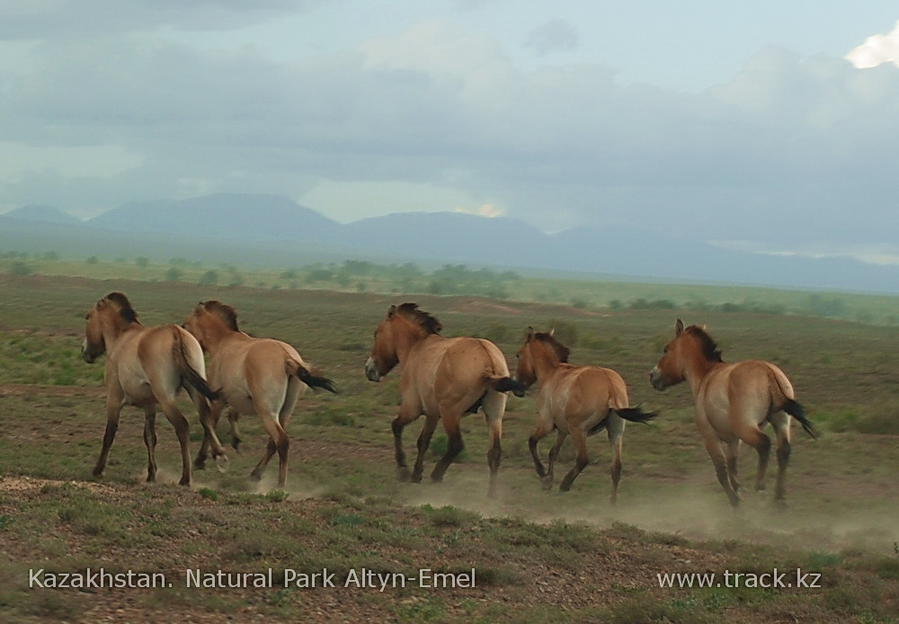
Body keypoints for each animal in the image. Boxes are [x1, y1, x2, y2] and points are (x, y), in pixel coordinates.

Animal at [81, 290, 221, 486]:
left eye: (88, 316)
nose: (85, 351)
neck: (121, 338)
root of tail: (176, 333)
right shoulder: (150, 405)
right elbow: (150, 438)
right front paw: (151, 474)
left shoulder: (114, 399)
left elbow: (109, 434)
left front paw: (98, 470)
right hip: (194, 390)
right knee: (206, 418)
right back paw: (217, 455)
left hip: (166, 397)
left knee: (182, 426)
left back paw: (185, 478)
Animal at [181, 300, 336, 490]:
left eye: (185, 325)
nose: (189, 347)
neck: (224, 341)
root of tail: (287, 357)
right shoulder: (235, 399)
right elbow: (231, 416)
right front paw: (235, 441)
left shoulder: (218, 400)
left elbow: (209, 424)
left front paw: (201, 460)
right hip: (284, 413)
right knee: (273, 443)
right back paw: (256, 474)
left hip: (267, 411)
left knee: (281, 441)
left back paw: (280, 486)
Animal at [362, 302, 524, 498]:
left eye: (376, 333)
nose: (369, 369)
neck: (417, 347)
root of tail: (488, 359)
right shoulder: (432, 414)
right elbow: (423, 441)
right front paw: (416, 474)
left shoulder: (412, 408)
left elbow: (397, 427)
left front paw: (404, 471)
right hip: (494, 415)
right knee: (494, 453)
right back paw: (491, 495)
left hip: (450, 413)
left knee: (456, 445)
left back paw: (437, 475)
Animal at [516, 326, 656, 498]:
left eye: (518, 355)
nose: (518, 389)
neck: (552, 373)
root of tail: (610, 386)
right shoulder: (562, 430)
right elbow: (553, 452)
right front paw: (548, 481)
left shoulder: (547, 424)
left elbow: (532, 442)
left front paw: (543, 475)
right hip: (615, 432)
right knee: (616, 468)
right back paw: (612, 501)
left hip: (579, 431)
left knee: (583, 459)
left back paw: (565, 484)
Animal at [652, 316, 820, 508]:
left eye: (666, 349)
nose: (652, 375)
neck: (706, 377)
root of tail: (768, 372)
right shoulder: (733, 440)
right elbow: (733, 470)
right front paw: (739, 492)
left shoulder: (710, 438)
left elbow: (722, 472)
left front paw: (736, 502)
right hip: (781, 422)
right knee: (783, 451)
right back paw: (779, 499)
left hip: (746, 428)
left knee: (764, 444)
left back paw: (760, 486)